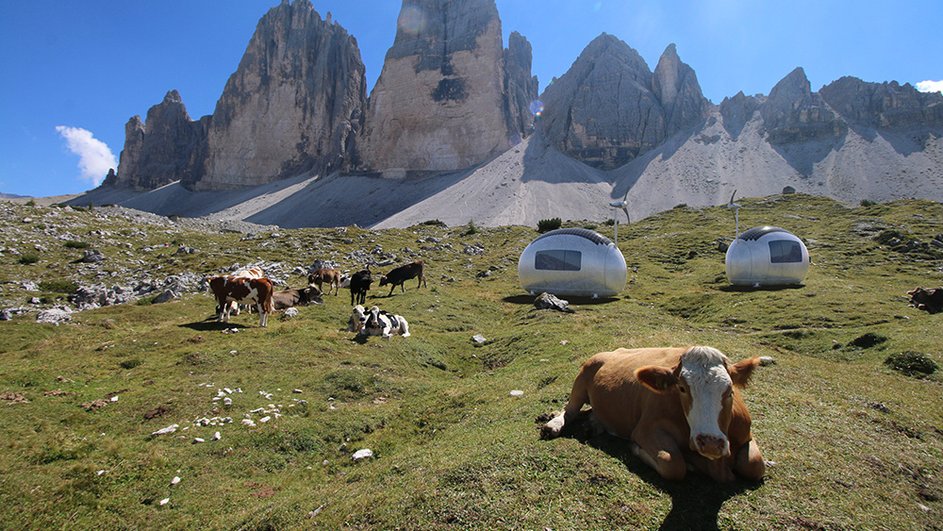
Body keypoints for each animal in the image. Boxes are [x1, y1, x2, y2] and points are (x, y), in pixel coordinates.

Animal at [540, 348, 768, 484]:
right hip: (581, 381)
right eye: (682, 388)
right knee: (570, 411)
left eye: (729, 391)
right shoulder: (645, 429)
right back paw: (553, 425)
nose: (711, 442)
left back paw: (593, 425)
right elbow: (673, 463)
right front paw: (636, 449)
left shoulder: (746, 433)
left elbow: (755, 465)